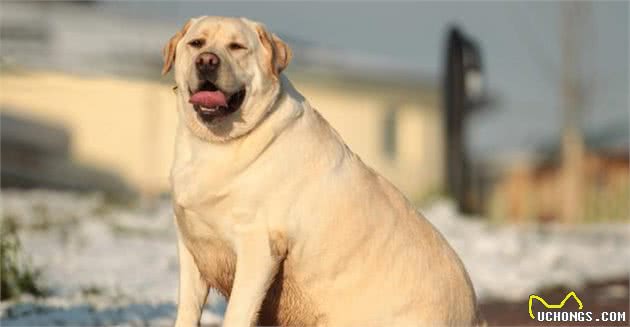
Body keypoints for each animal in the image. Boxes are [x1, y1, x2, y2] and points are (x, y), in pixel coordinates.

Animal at [163, 16, 478, 327]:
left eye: (237, 47)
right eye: (197, 43)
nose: (206, 61)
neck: (217, 144)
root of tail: (475, 315)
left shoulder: (259, 247)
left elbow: (237, 314)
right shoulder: (191, 246)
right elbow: (187, 310)